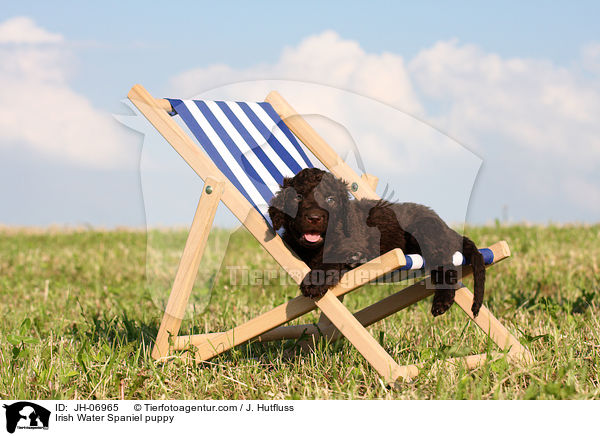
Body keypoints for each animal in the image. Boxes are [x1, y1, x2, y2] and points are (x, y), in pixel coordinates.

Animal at [270, 168, 486, 316]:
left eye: (330, 199)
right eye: (298, 197)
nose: (314, 218)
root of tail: (445, 226)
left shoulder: (349, 245)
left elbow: (329, 260)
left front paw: (314, 282)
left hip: (425, 232)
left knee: (445, 266)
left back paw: (442, 302)